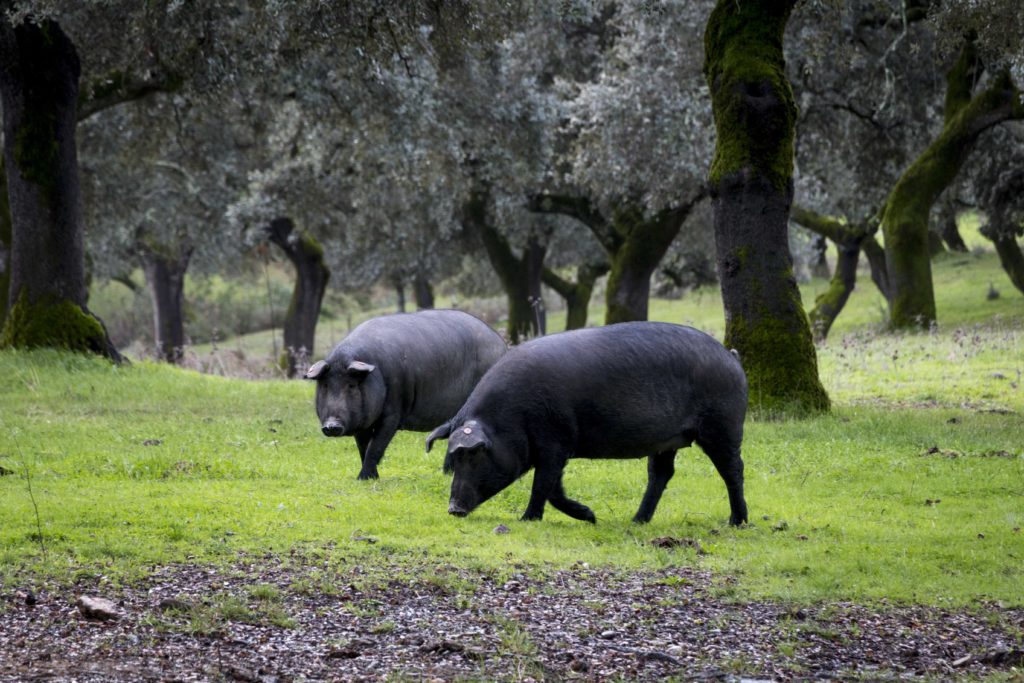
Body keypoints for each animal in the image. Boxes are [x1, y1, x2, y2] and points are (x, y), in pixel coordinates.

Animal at [307, 309, 507, 481]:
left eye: (351, 385)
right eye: (325, 385)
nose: (332, 425)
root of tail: (501, 343)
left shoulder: (394, 411)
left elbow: (376, 446)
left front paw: (364, 478)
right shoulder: (362, 421)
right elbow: (363, 447)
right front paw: (369, 478)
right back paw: (447, 473)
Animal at [425, 323, 753, 528]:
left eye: (474, 455)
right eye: (453, 458)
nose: (453, 509)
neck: (512, 417)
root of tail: (731, 357)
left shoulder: (556, 441)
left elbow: (543, 484)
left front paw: (528, 519)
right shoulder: (554, 448)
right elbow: (554, 487)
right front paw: (591, 517)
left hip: (723, 426)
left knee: (733, 470)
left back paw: (737, 522)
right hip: (668, 440)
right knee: (661, 474)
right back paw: (636, 521)